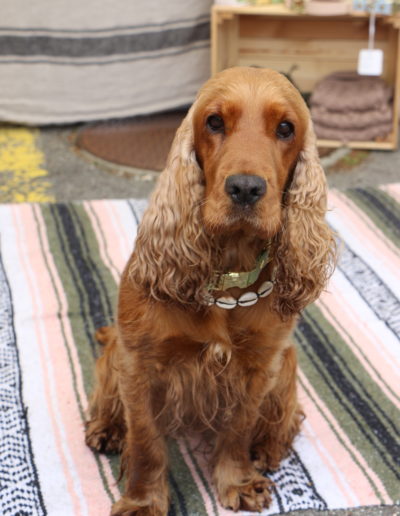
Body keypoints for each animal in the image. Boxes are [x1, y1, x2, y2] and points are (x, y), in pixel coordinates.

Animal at [85, 67, 336, 515]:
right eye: (214, 122)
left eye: (286, 128)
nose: (246, 188)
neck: (228, 276)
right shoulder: (140, 364)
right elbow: (146, 442)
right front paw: (142, 501)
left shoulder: (259, 367)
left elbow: (238, 429)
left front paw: (237, 482)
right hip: (116, 349)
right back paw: (107, 427)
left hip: (288, 361)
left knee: (286, 417)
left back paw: (268, 448)